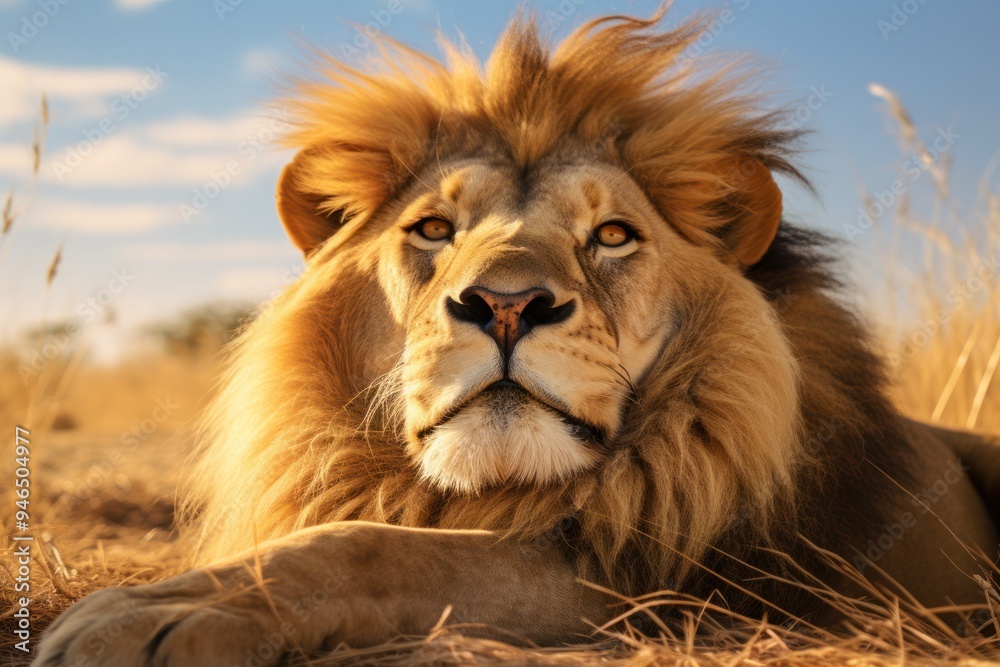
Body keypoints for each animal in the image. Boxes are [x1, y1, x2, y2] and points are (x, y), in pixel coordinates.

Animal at [35, 10, 1000, 666]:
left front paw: (144, 614)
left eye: (611, 235)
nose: (505, 304)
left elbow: (375, 548)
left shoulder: (646, 584)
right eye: (433, 229)